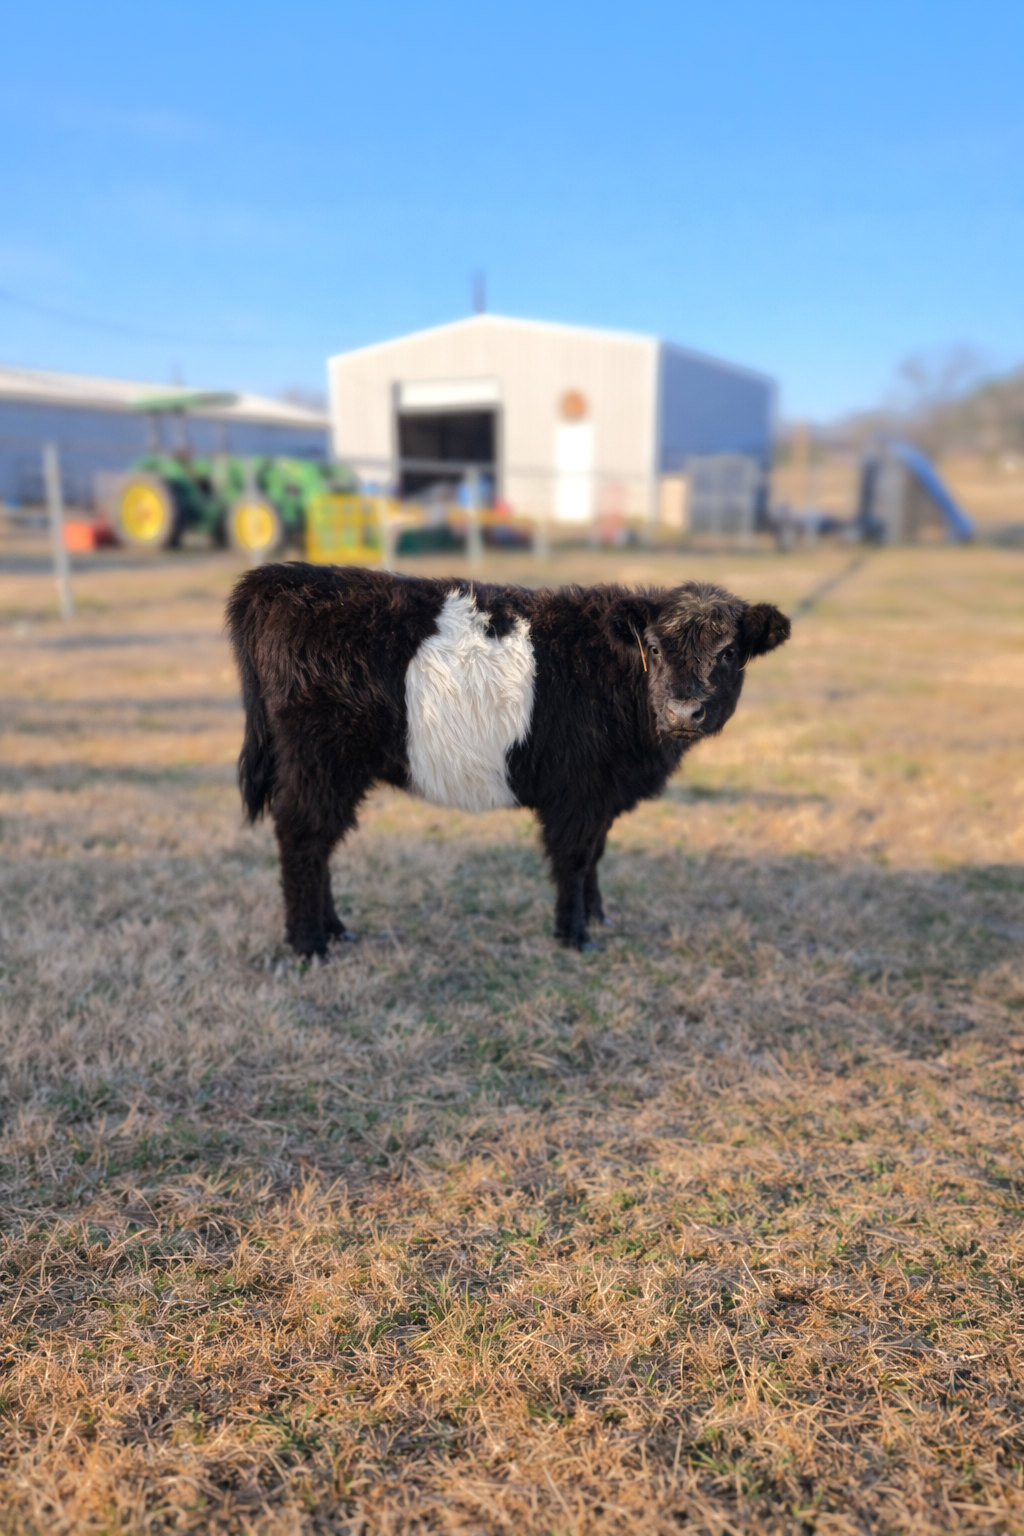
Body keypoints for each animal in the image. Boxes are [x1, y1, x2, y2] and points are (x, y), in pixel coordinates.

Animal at [227, 564, 790, 958]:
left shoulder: (603, 795)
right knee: (304, 838)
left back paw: (335, 931)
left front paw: (598, 917)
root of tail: (284, 578)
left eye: (730, 652)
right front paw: (574, 936)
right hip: (319, 761)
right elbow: (574, 859)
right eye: (652, 646)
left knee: (321, 843)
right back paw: (309, 945)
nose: (684, 710)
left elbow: (596, 855)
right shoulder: (578, 794)